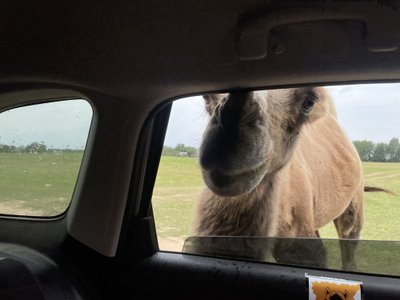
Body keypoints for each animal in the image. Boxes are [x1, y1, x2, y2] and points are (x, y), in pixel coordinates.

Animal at [195, 86, 368, 270]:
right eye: (206, 96)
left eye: (309, 102)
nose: (228, 137)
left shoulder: (299, 240)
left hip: (354, 199)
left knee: (349, 236)